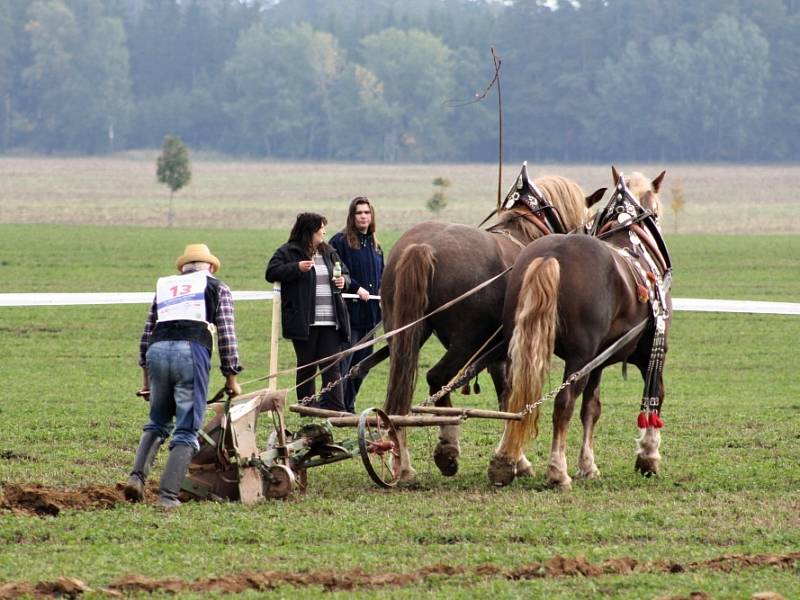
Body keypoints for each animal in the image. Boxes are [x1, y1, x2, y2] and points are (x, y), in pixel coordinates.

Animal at [382, 162, 608, 480]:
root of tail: (424, 246)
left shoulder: (498, 354)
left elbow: (504, 395)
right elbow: (512, 397)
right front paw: (517, 460)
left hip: (403, 334)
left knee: (402, 389)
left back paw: (402, 463)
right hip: (467, 341)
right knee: (438, 379)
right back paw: (447, 447)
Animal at [490, 168, 672, 488]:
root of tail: (552, 255)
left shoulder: (598, 361)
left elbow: (592, 408)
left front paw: (588, 465)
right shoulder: (650, 352)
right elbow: (654, 396)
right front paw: (648, 456)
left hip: (521, 347)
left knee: (512, 397)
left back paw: (505, 461)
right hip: (579, 357)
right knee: (563, 403)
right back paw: (557, 471)